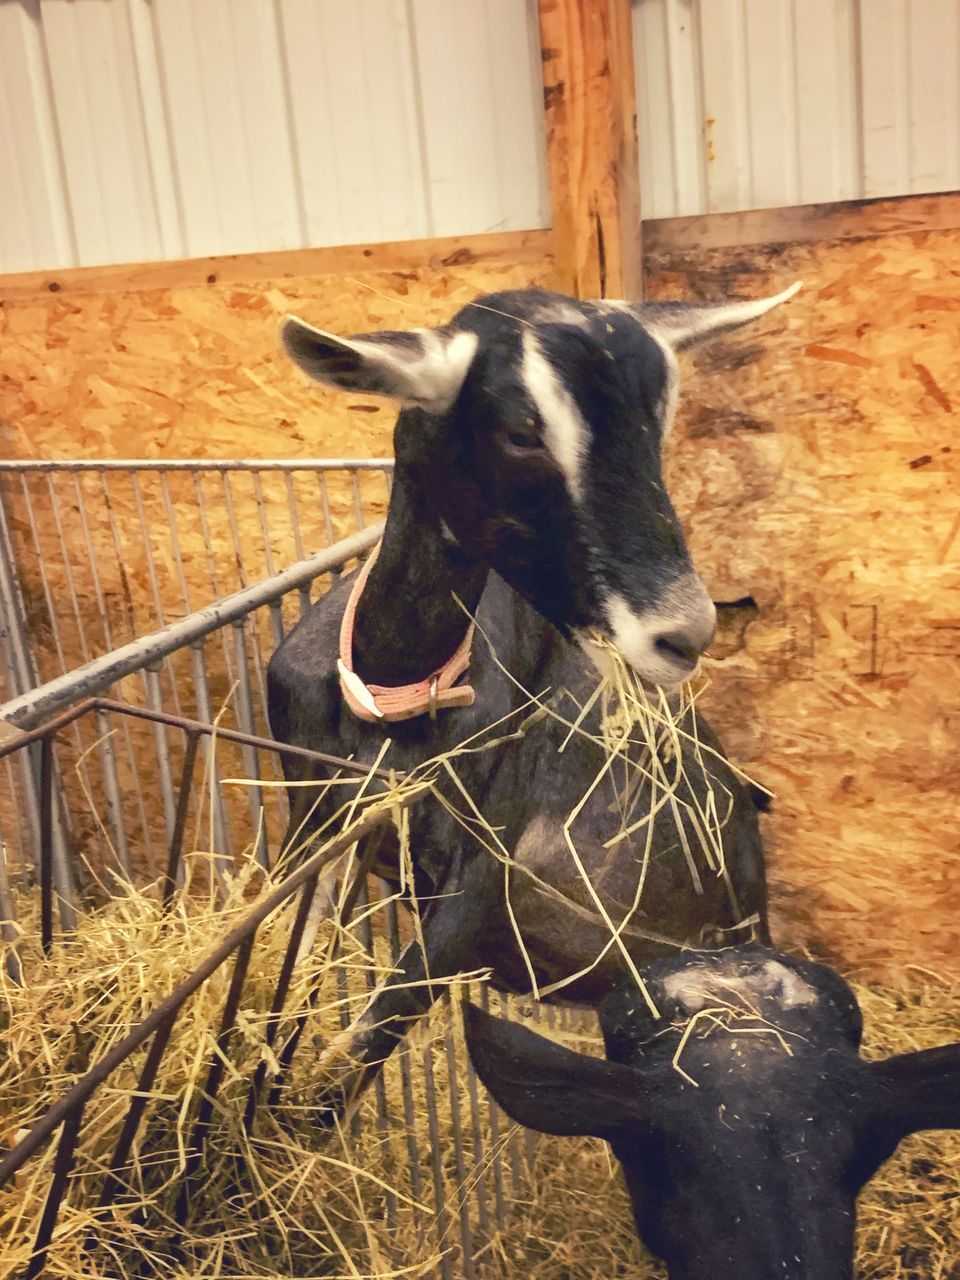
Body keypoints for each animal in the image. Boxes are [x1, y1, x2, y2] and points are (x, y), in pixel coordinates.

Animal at [267, 285, 798, 1105]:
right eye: (522, 430)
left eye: (658, 425)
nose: (685, 633)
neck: (392, 694)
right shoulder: (313, 821)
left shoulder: (484, 866)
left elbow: (353, 1058)